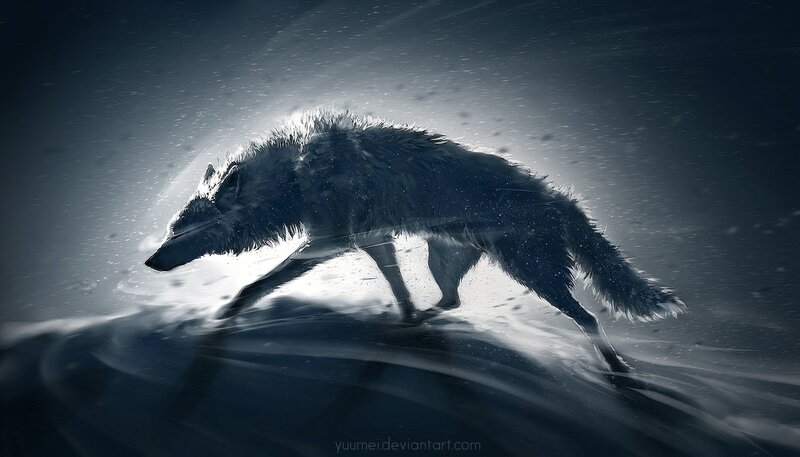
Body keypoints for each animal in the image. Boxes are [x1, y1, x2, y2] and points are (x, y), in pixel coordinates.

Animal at [145, 109, 685, 373]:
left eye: (183, 232)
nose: (150, 261)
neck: (293, 179)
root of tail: (560, 197)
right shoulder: (373, 240)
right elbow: (398, 288)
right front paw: (403, 319)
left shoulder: (331, 243)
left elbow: (253, 286)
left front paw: (222, 316)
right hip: (444, 260)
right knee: (450, 300)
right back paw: (409, 327)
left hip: (533, 274)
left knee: (588, 317)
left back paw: (617, 368)